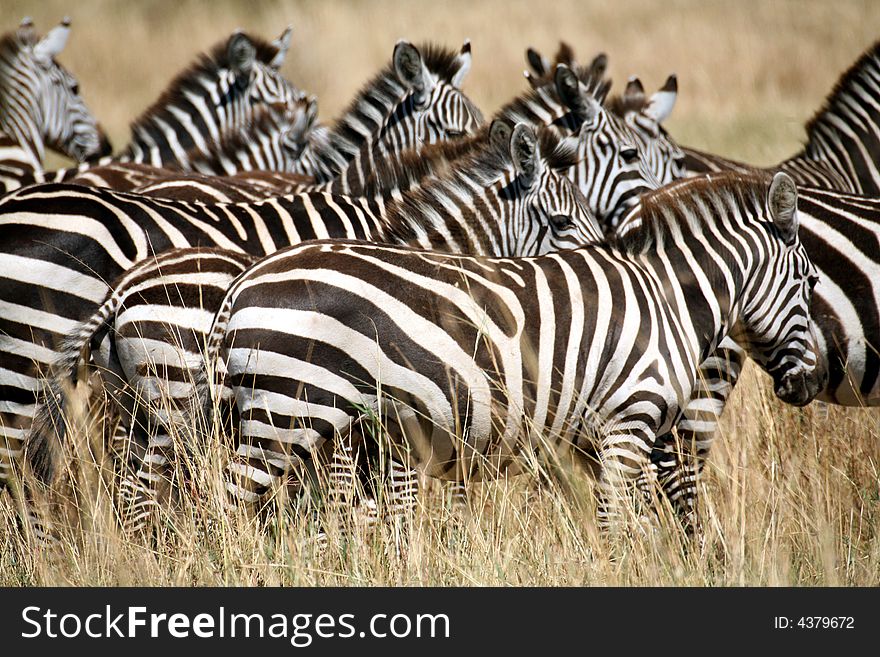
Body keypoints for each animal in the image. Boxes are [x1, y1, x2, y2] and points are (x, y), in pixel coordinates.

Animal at [189, 170, 820, 532]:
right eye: (811, 283)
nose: (809, 384)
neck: (666, 299)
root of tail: (245, 281)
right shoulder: (629, 422)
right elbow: (618, 526)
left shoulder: (590, 440)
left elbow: (618, 524)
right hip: (283, 416)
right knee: (223, 509)